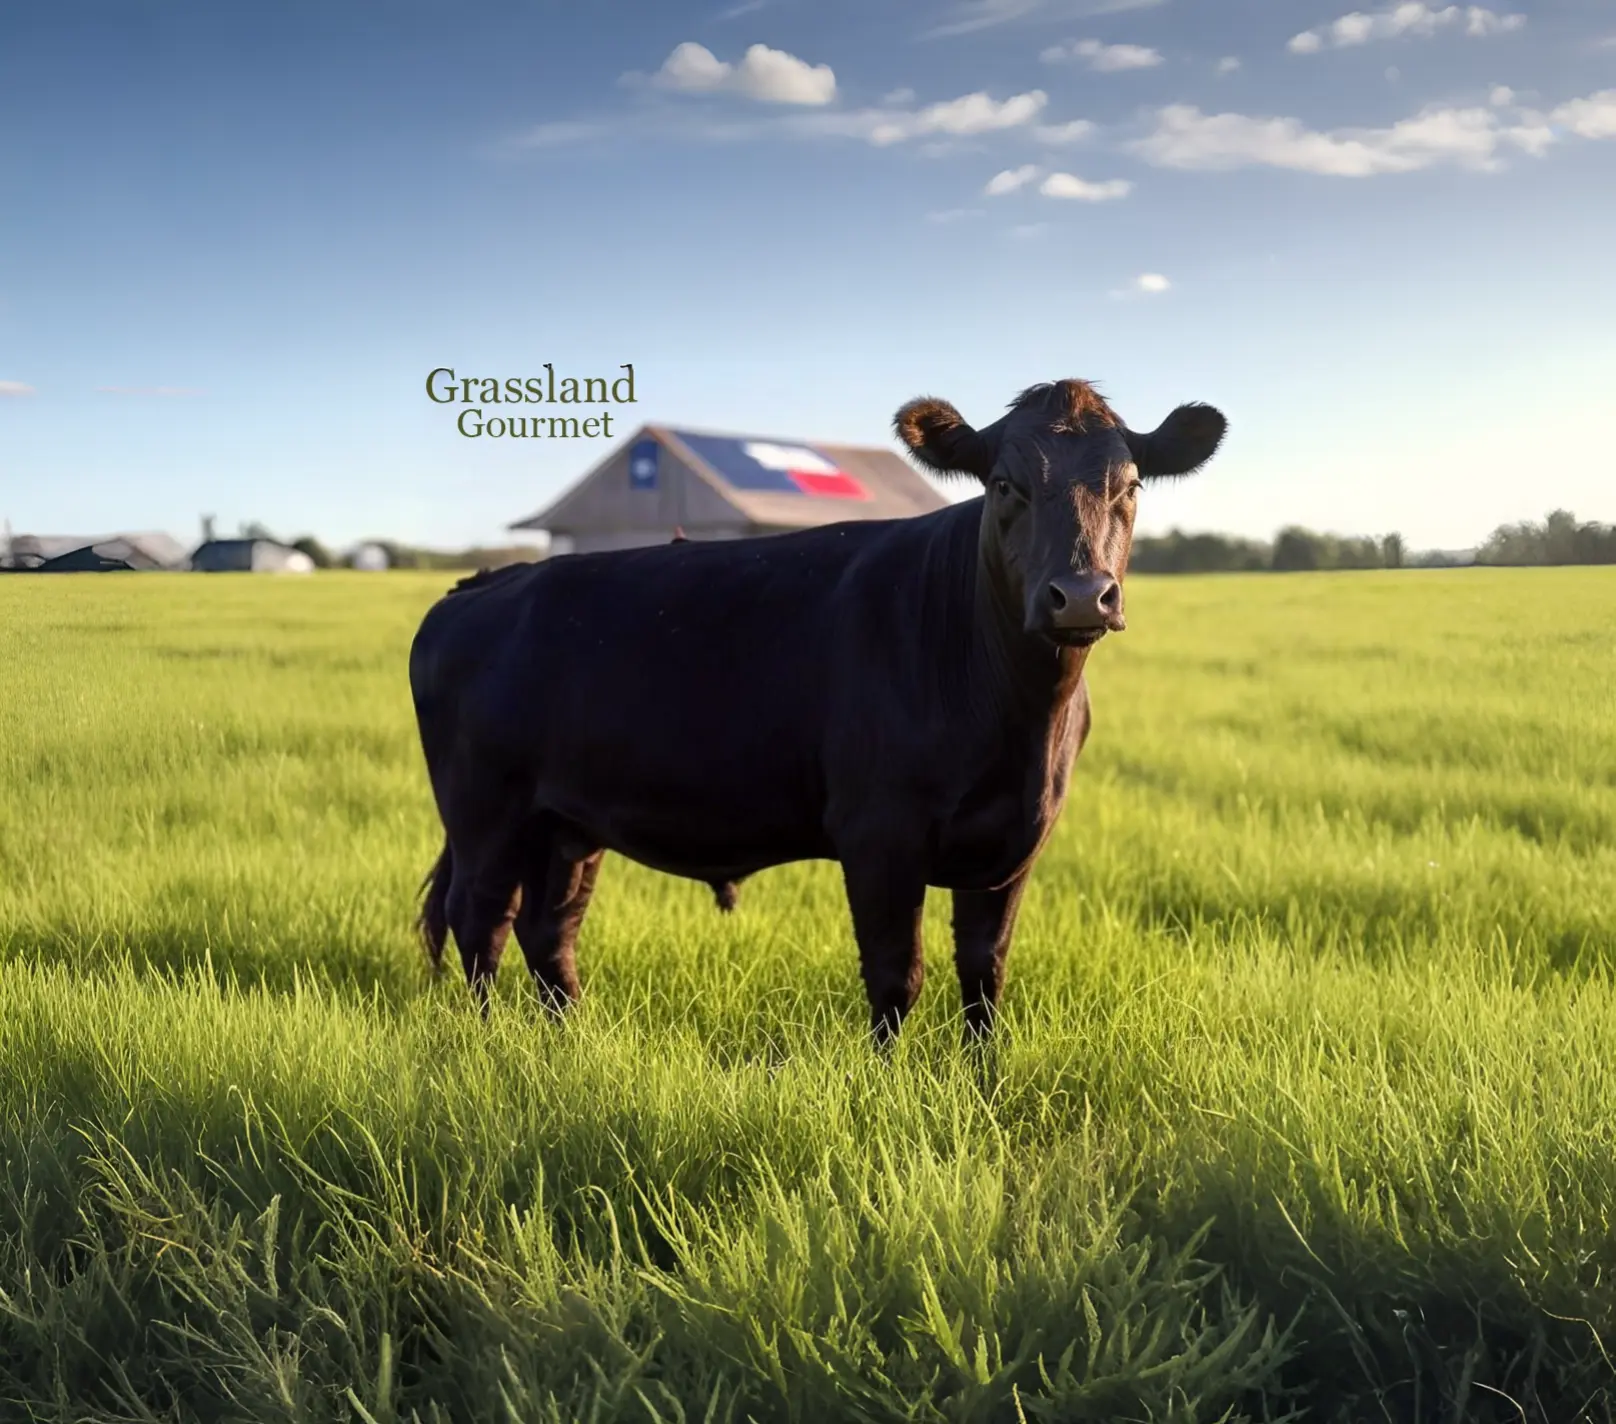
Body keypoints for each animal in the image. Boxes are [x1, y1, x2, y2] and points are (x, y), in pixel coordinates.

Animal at [410, 383, 1215, 1040]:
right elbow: (896, 978)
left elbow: (984, 976)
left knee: (550, 931)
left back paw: (569, 1040)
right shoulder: (878, 833)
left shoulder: (1015, 844)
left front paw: (983, 1086)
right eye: (1005, 484)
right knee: (480, 922)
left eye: (1131, 485)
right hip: (484, 813)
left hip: (567, 824)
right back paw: (490, 1045)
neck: (1018, 718)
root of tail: (484, 583)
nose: (1080, 596)